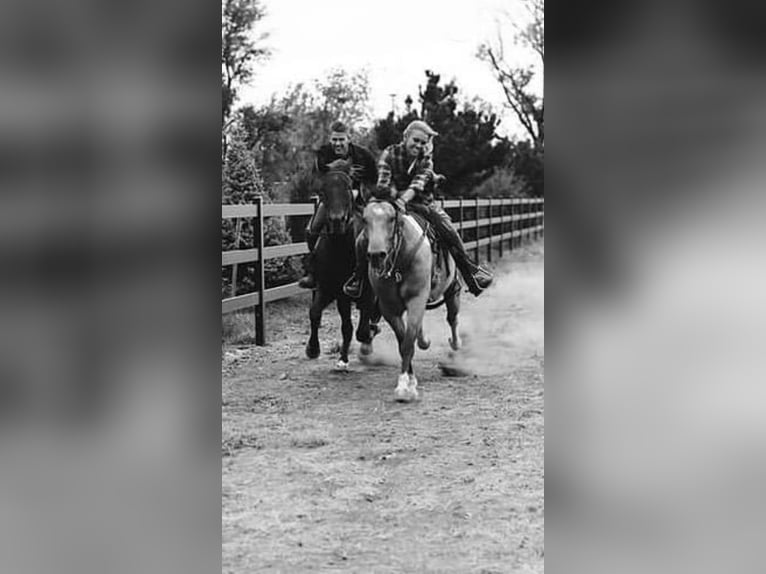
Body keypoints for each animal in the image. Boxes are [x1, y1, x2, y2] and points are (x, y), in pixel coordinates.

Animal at [305, 170, 379, 369]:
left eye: (347, 188)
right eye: (323, 191)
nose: (337, 221)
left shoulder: (367, 292)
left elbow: (362, 330)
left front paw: (367, 341)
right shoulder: (332, 290)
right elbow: (316, 314)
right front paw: (314, 350)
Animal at [363, 199, 462, 401]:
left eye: (391, 218)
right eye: (364, 220)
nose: (376, 255)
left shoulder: (416, 299)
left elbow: (408, 344)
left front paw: (405, 388)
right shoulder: (389, 309)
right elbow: (403, 343)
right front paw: (408, 381)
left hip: (452, 289)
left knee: (452, 318)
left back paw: (455, 343)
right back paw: (424, 340)